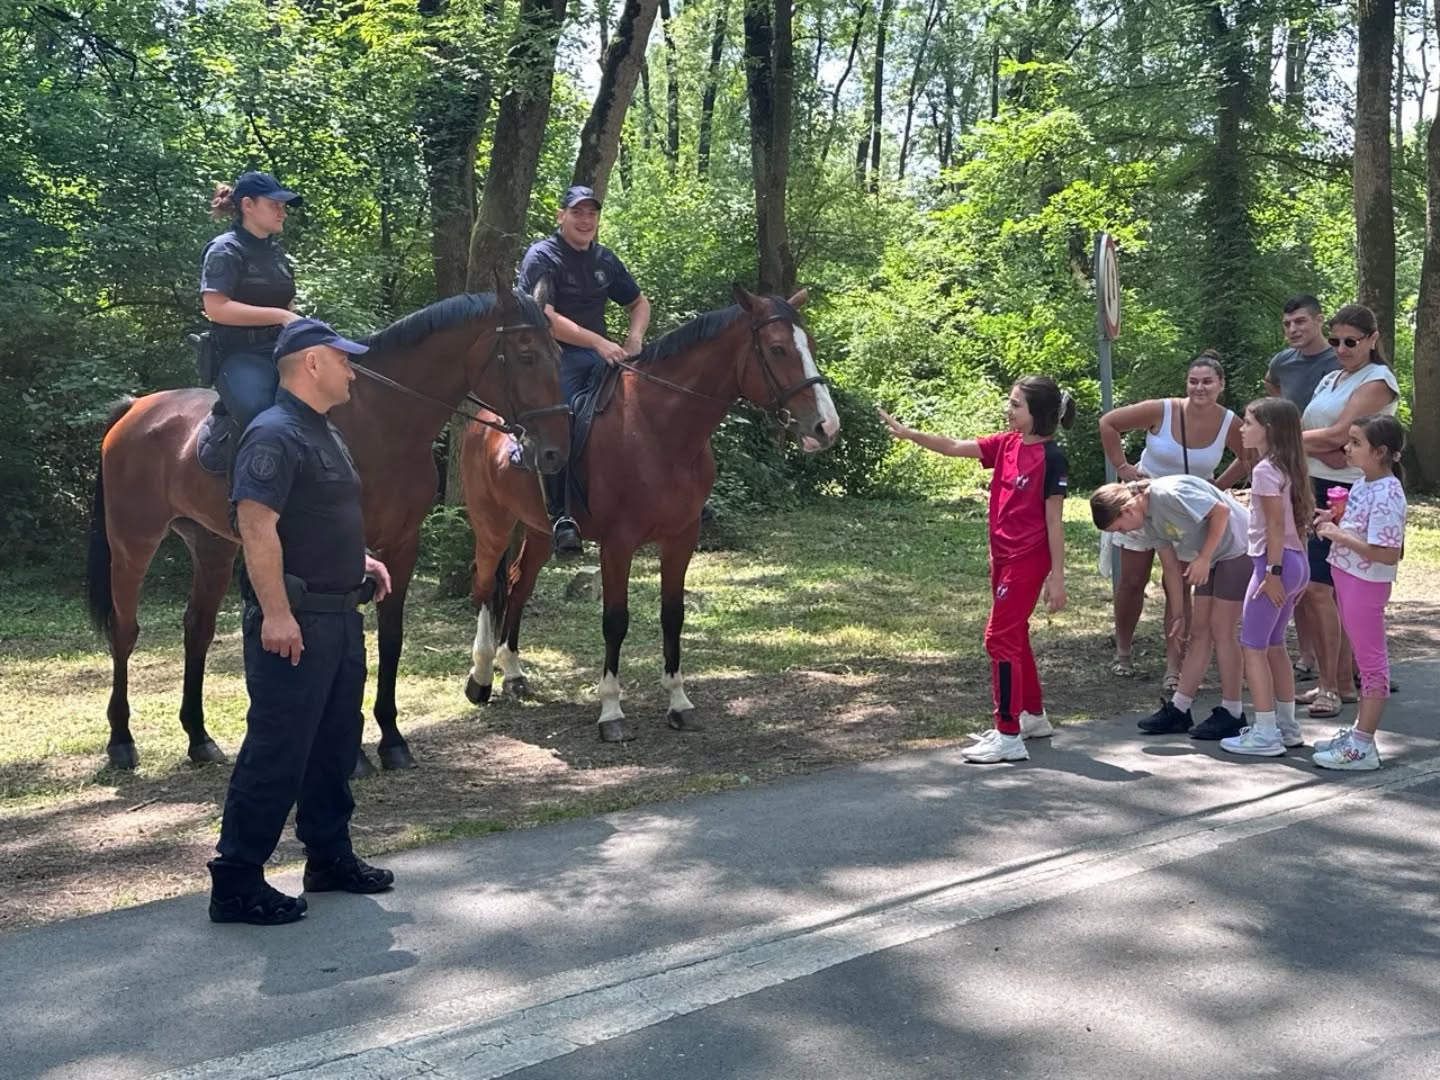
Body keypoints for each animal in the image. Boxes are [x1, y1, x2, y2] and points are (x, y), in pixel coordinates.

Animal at [85, 286, 568, 773]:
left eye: (558, 354)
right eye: (526, 355)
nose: (552, 452)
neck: (383, 422)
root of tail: (136, 408)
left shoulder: (402, 545)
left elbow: (390, 639)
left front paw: (392, 739)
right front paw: (353, 756)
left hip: (212, 546)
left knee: (196, 628)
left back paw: (199, 738)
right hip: (132, 543)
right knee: (125, 631)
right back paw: (121, 740)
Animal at [460, 284, 840, 742]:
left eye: (810, 345)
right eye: (778, 348)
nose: (826, 426)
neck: (656, 428)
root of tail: (482, 419)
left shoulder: (681, 537)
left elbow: (672, 615)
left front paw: (678, 702)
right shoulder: (618, 544)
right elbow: (615, 621)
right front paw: (610, 710)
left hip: (538, 531)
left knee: (518, 584)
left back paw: (513, 673)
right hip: (492, 523)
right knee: (484, 587)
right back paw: (480, 678)